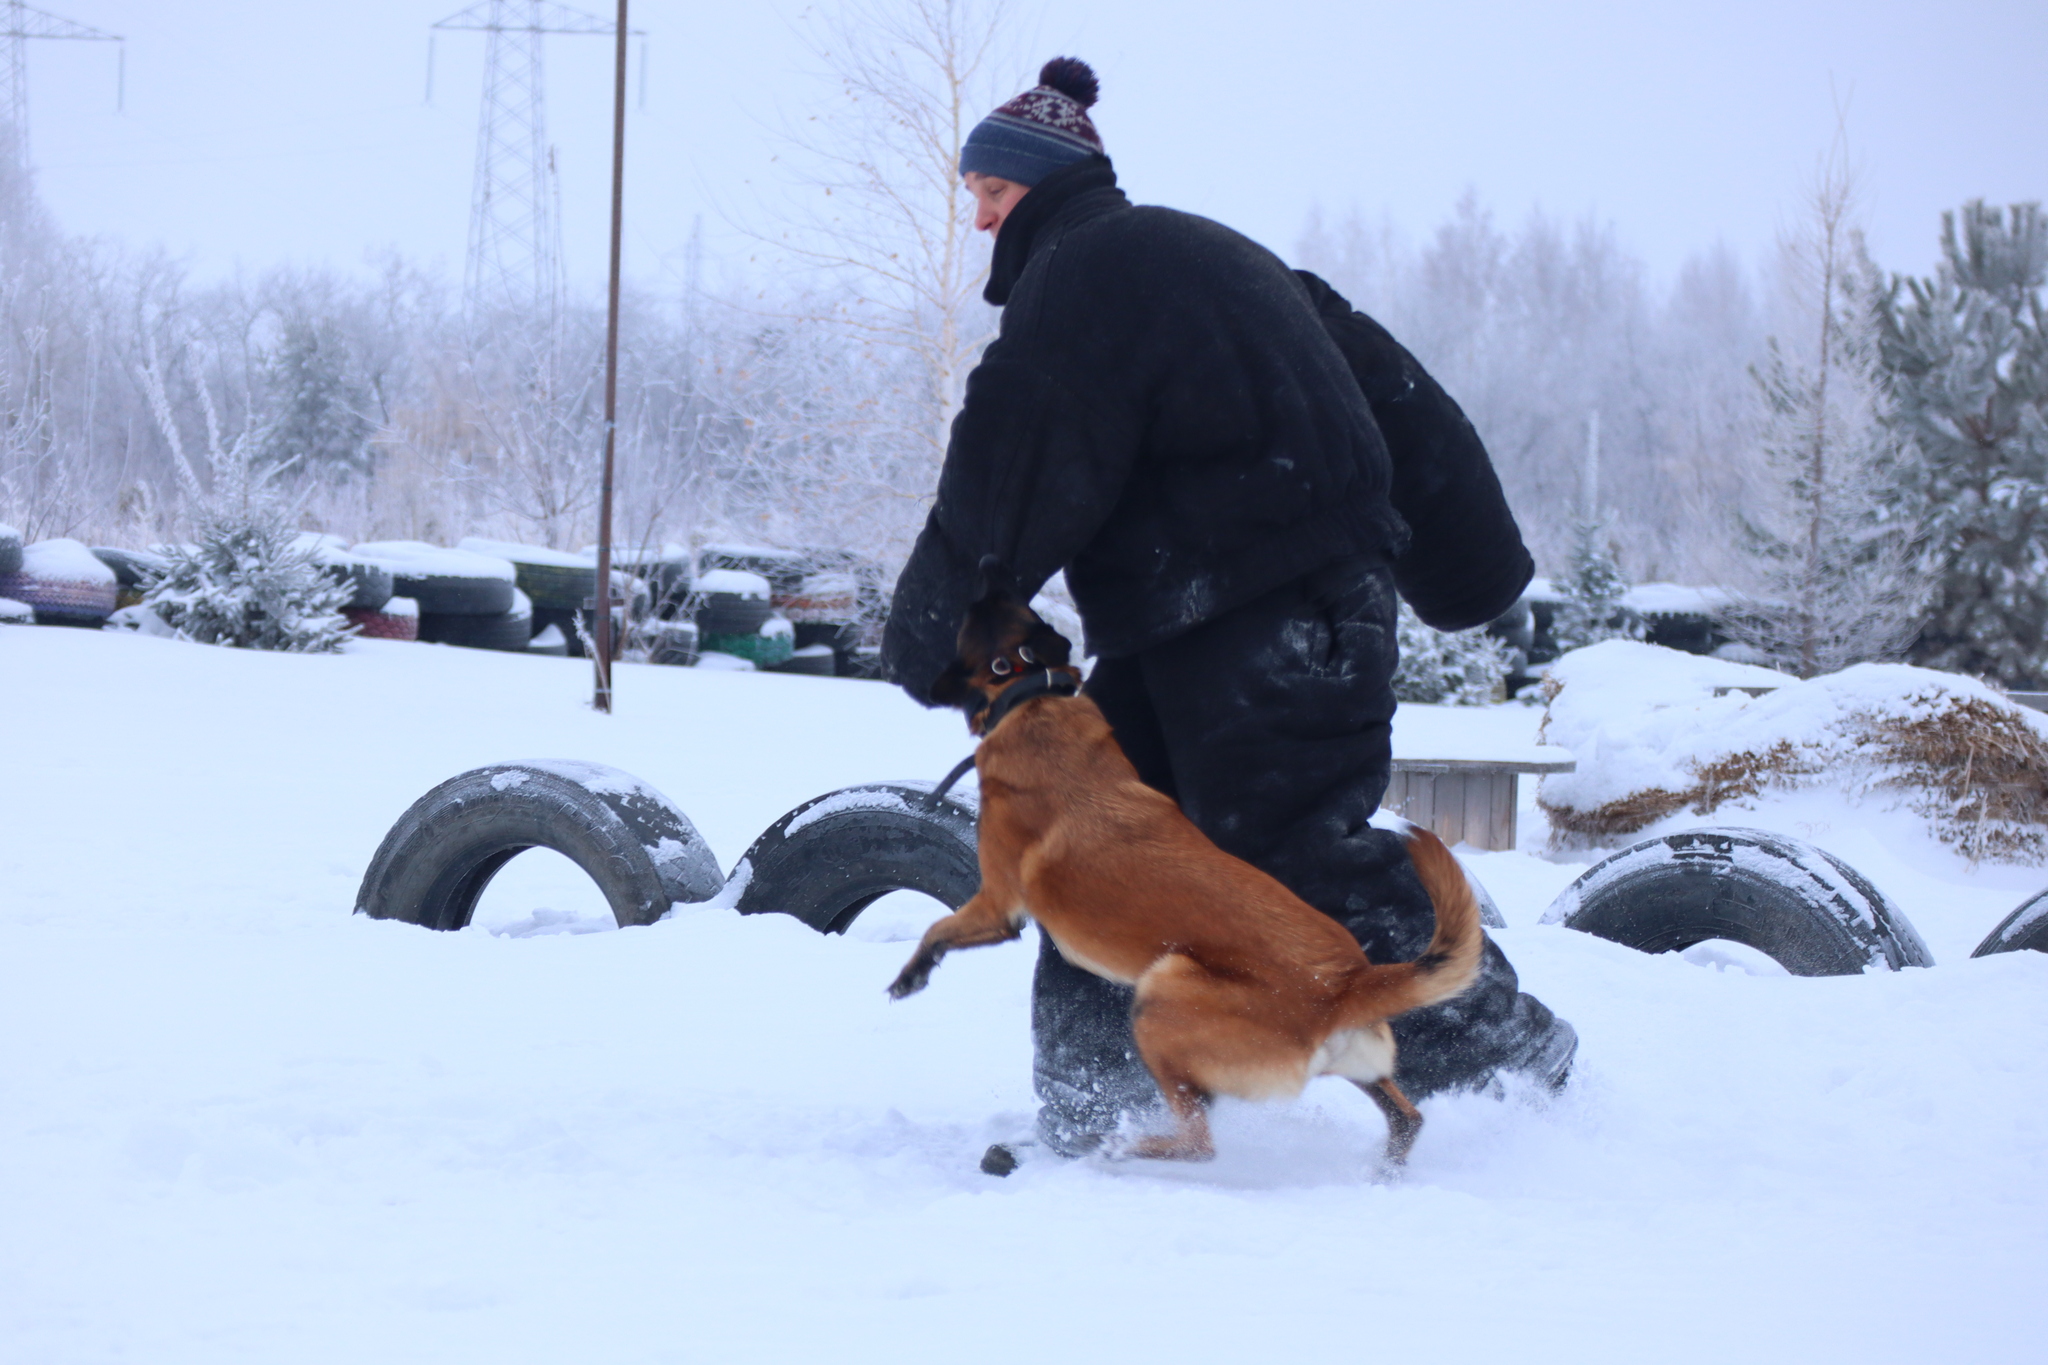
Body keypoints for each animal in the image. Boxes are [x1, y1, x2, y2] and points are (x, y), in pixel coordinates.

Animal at [888, 581, 1482, 1170]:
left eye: (968, 617)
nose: (989, 573)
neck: (1032, 698)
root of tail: (1346, 983)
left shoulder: (997, 904)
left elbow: (937, 929)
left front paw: (910, 976)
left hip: (1162, 994)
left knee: (1199, 1143)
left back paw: (1117, 1145)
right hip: (1355, 1064)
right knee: (1407, 1118)